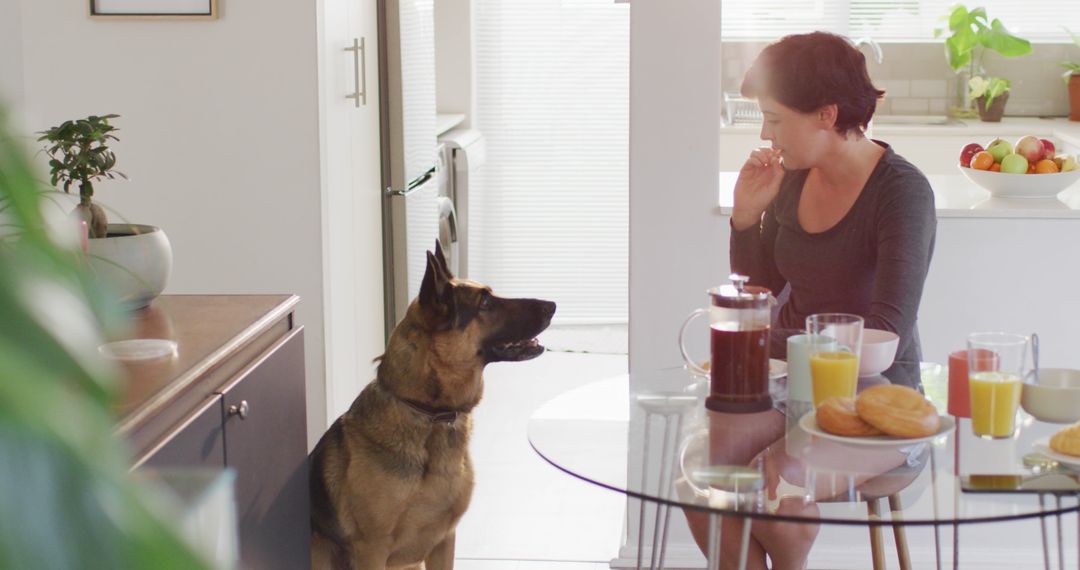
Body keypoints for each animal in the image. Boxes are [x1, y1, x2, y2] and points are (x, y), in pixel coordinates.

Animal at [308, 245, 552, 570]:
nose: (552, 305)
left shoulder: (444, 541)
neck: (430, 413)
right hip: (320, 550)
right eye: (485, 302)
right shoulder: (371, 550)